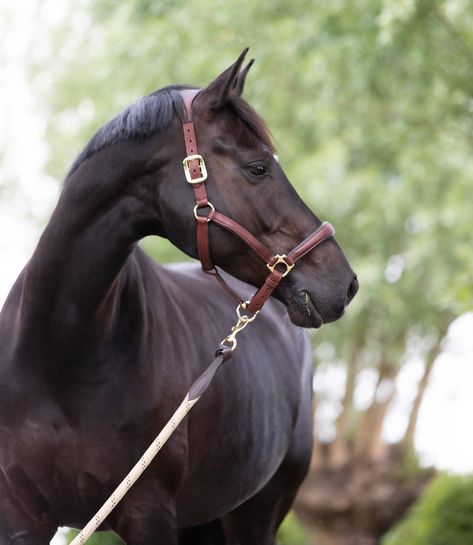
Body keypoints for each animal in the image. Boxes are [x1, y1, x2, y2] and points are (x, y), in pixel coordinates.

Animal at [0, 52, 354, 544]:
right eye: (258, 167)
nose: (344, 283)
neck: (61, 353)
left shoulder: (147, 511)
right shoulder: (20, 518)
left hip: (259, 511)